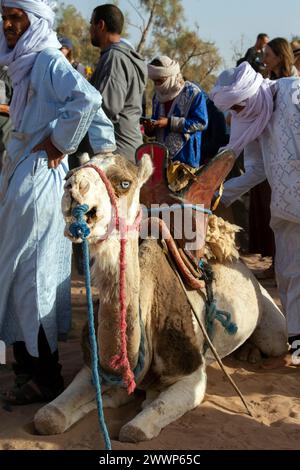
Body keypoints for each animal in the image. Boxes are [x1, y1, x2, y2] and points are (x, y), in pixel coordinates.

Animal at [34, 152, 288, 442]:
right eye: (70, 172)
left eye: (124, 183)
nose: (73, 186)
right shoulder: (93, 368)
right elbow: (47, 418)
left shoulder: (192, 375)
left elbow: (134, 430)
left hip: (270, 321)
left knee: (274, 341)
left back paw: (251, 354)